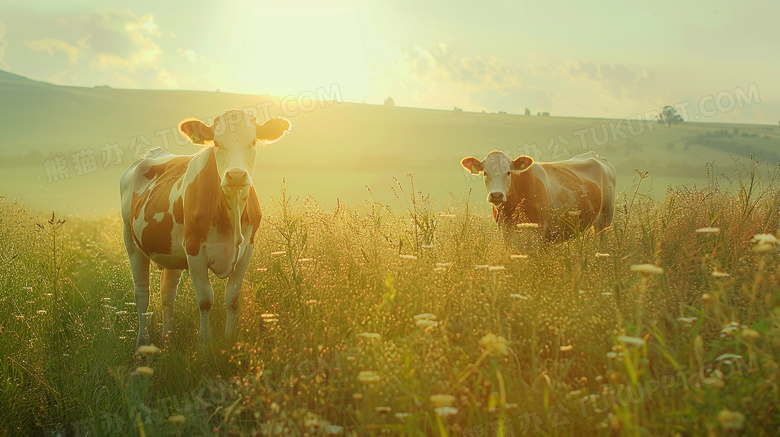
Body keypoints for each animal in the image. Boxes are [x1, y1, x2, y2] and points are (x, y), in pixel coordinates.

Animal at [120, 110, 290, 350]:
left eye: (253, 141)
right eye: (216, 143)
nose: (236, 175)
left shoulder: (247, 248)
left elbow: (232, 298)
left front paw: (230, 338)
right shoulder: (194, 249)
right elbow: (205, 300)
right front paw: (204, 344)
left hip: (171, 252)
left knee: (167, 293)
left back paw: (168, 339)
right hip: (131, 241)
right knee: (142, 294)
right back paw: (142, 344)